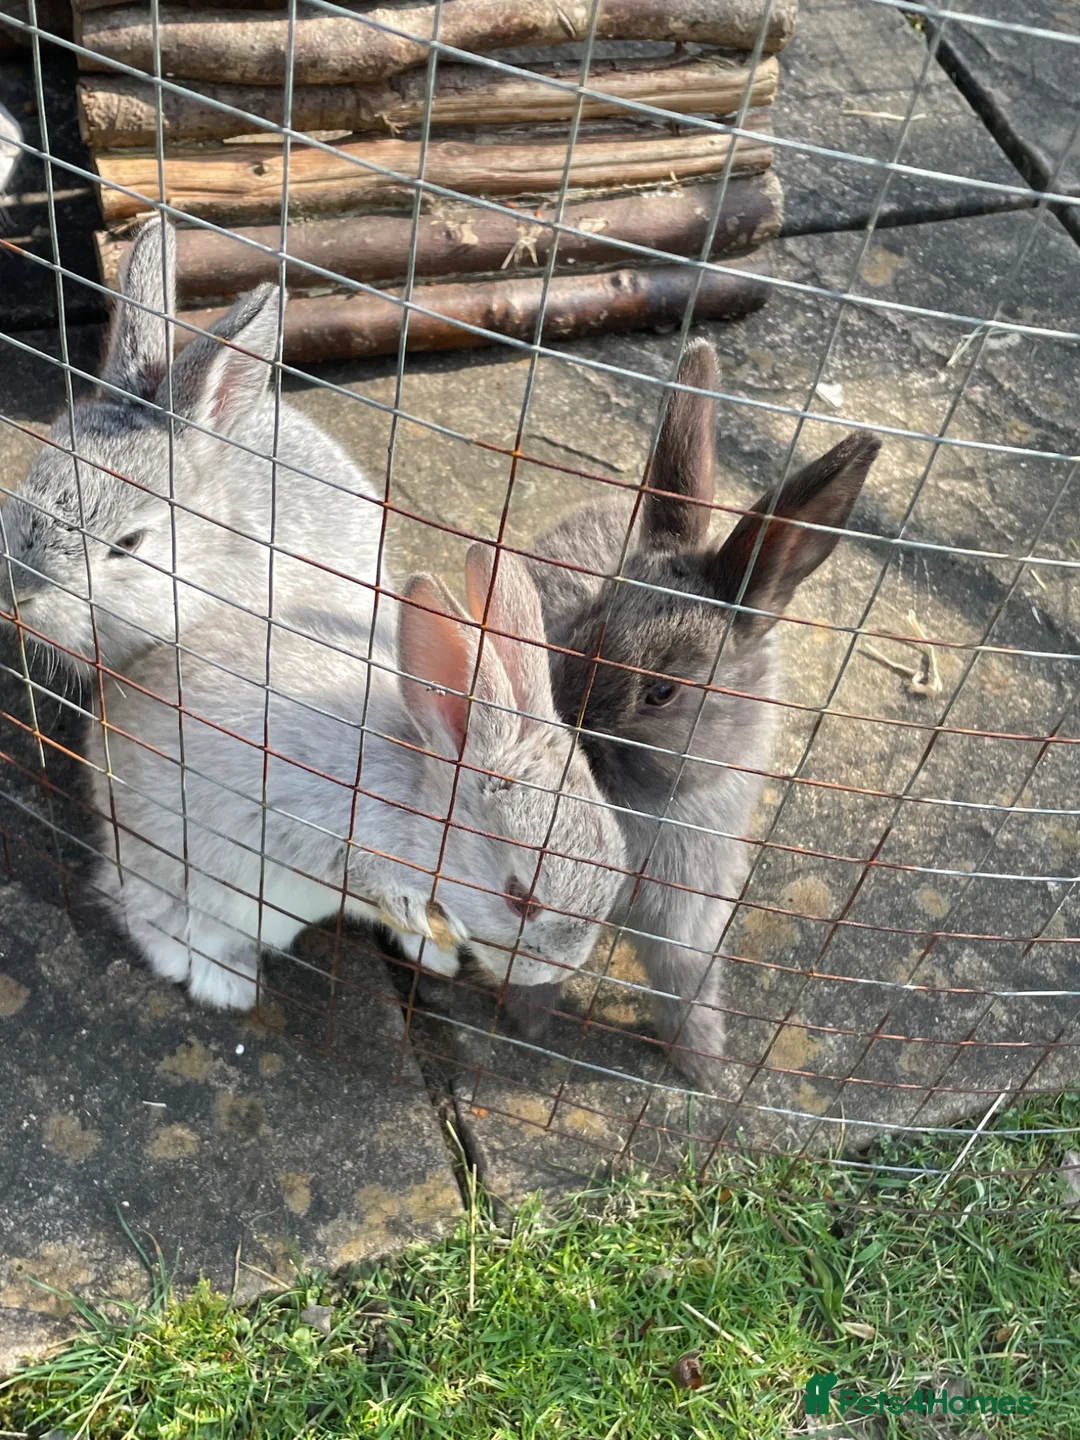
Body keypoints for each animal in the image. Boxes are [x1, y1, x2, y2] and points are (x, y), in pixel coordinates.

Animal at [524, 337, 882, 1091]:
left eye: (661, 693)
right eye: (583, 623)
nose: (561, 726)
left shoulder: (689, 912)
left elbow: (687, 983)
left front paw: (706, 1072)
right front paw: (524, 1024)